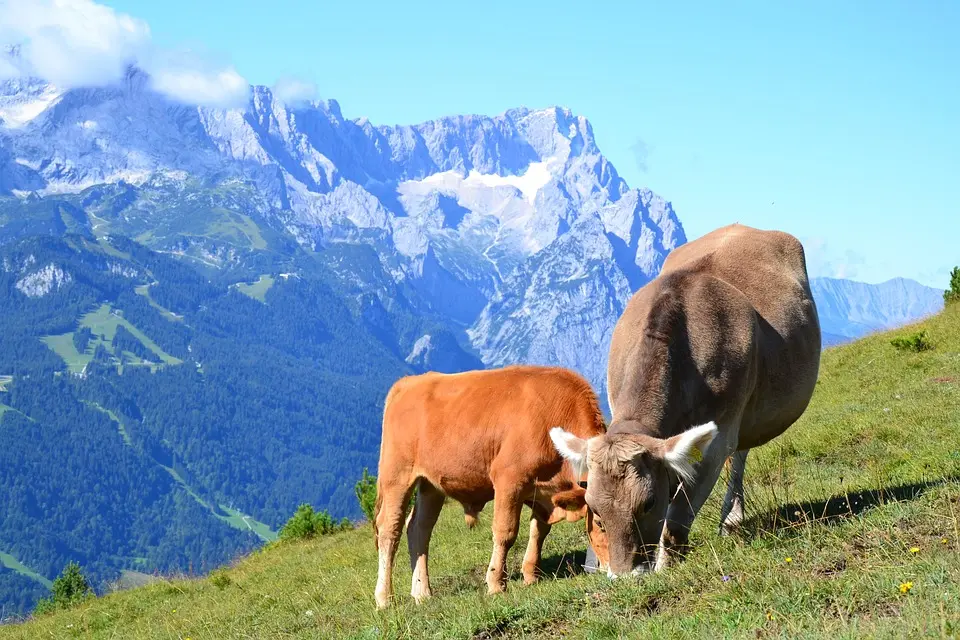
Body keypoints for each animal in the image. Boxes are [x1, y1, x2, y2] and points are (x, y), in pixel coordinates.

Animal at [374, 364, 608, 608]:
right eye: (600, 523)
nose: (619, 573)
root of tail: (407, 383)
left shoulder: (542, 492)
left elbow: (539, 531)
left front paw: (531, 575)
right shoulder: (508, 479)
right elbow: (506, 532)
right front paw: (496, 584)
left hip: (431, 484)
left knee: (419, 527)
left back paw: (421, 592)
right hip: (396, 476)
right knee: (389, 529)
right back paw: (384, 598)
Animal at [552, 224, 820, 576]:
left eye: (648, 503)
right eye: (594, 508)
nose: (624, 577)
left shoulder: (716, 439)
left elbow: (677, 520)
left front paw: (665, 566)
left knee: (738, 457)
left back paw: (731, 520)